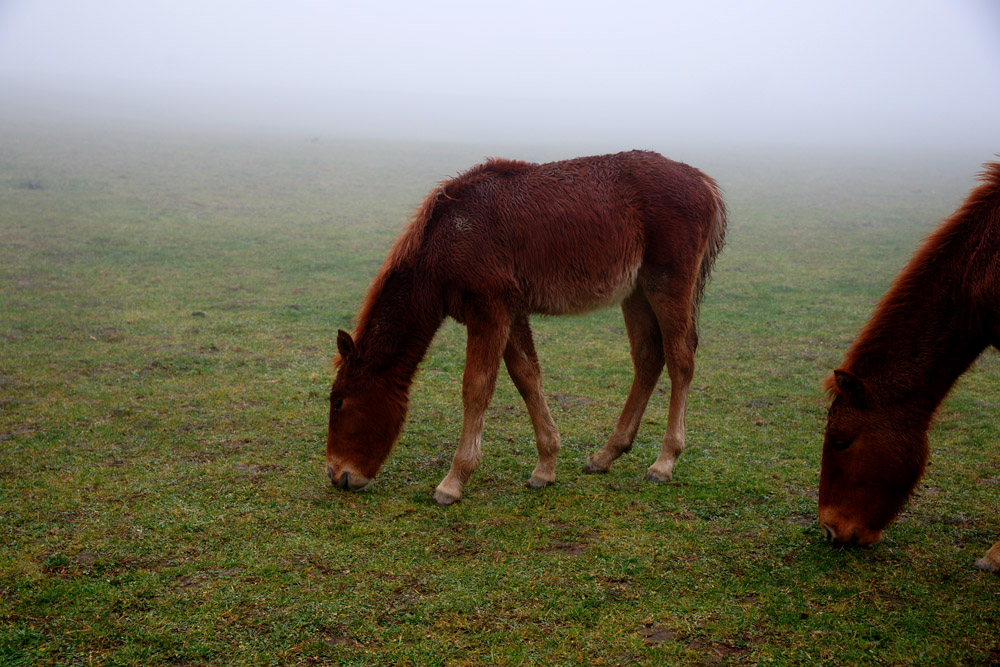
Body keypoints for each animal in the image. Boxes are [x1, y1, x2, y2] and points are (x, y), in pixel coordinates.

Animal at [328, 150, 728, 506]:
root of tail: (704, 183)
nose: (337, 475)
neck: (448, 236)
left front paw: (452, 483)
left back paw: (664, 462)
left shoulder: (488, 311)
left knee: (680, 359)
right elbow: (527, 377)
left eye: (338, 402)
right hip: (637, 291)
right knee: (648, 357)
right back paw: (605, 455)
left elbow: (476, 389)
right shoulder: (510, 312)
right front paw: (545, 467)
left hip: (667, 283)